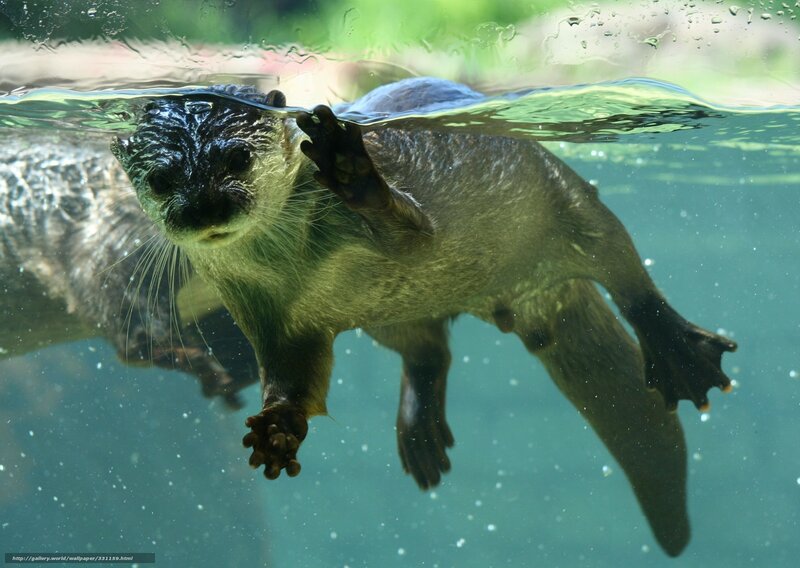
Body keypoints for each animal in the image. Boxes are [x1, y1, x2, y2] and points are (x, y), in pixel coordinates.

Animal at [113, 78, 737, 556]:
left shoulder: (390, 219)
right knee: (427, 348)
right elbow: (293, 376)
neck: (291, 263)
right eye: (162, 180)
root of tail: (535, 297)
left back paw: (678, 352)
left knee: (626, 272)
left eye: (235, 157)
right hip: (391, 317)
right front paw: (277, 429)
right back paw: (421, 433)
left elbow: (415, 233)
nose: (204, 209)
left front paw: (350, 167)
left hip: (565, 199)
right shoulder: (262, 312)